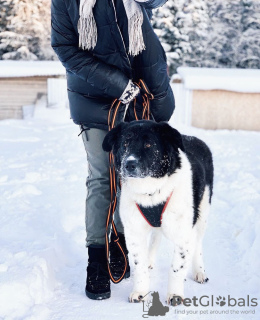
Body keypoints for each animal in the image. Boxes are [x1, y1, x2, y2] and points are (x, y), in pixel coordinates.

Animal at [102, 120, 214, 304]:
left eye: (149, 144)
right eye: (125, 143)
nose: (129, 164)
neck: (151, 192)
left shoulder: (183, 233)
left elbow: (176, 267)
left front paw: (175, 295)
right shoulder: (134, 232)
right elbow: (139, 266)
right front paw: (140, 291)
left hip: (202, 213)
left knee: (197, 243)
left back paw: (199, 271)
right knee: (156, 237)